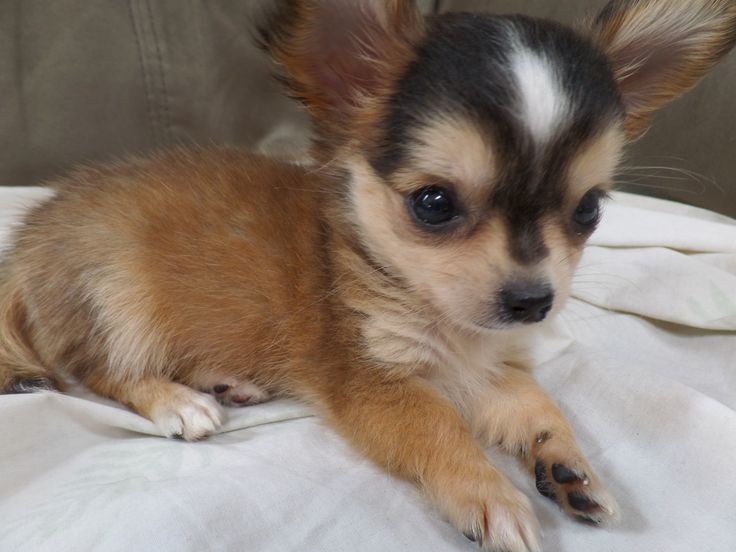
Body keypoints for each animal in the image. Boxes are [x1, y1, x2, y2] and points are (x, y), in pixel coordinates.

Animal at [1, 0, 736, 548]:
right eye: (433, 204)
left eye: (589, 209)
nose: (532, 301)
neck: (445, 325)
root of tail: (31, 237)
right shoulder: (374, 382)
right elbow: (438, 428)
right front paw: (490, 495)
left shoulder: (494, 370)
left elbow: (540, 406)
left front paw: (570, 467)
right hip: (118, 294)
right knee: (97, 370)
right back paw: (178, 402)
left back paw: (226, 379)